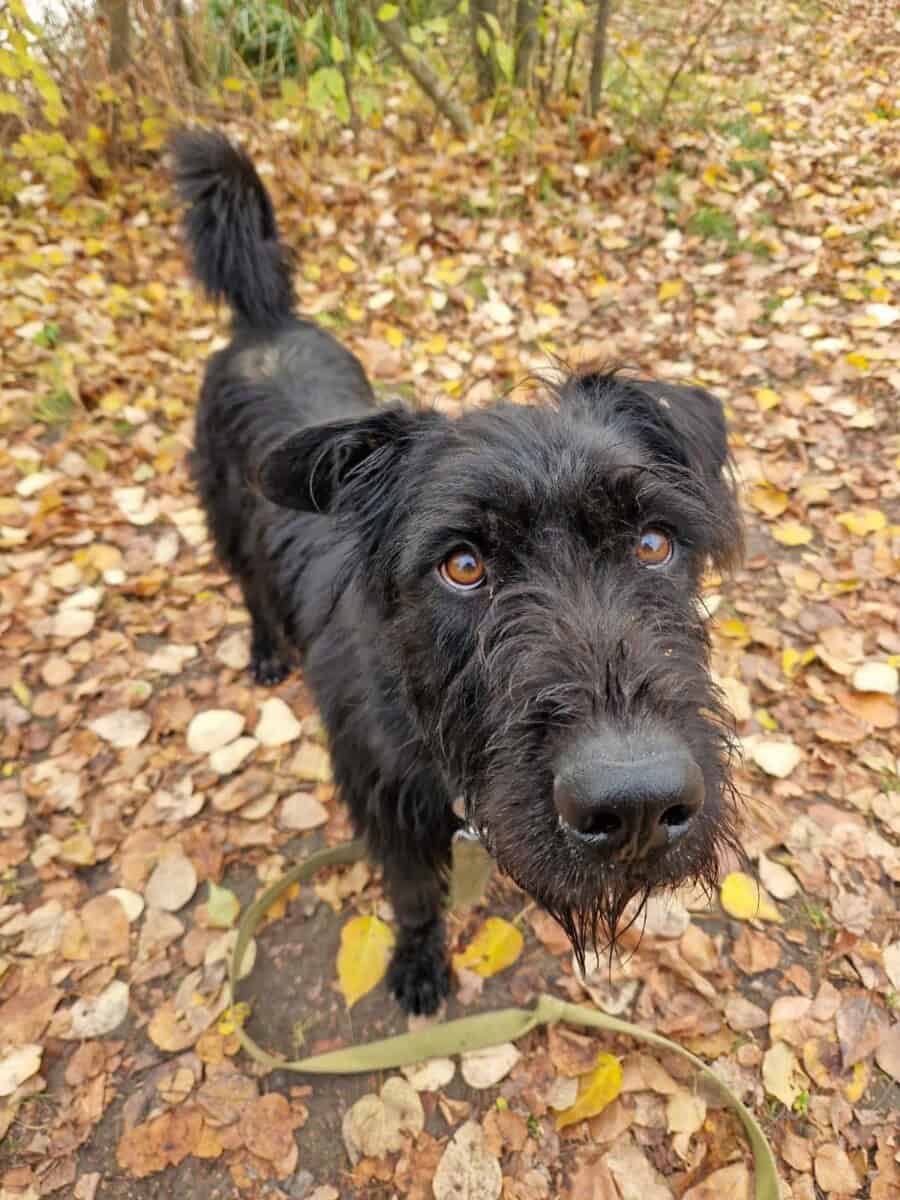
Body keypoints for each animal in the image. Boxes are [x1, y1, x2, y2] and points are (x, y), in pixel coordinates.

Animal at [173, 129, 743, 1015]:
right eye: (463, 565)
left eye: (654, 543)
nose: (639, 805)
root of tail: (264, 322)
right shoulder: (391, 817)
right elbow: (413, 901)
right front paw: (419, 964)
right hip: (225, 523)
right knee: (251, 591)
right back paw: (266, 650)